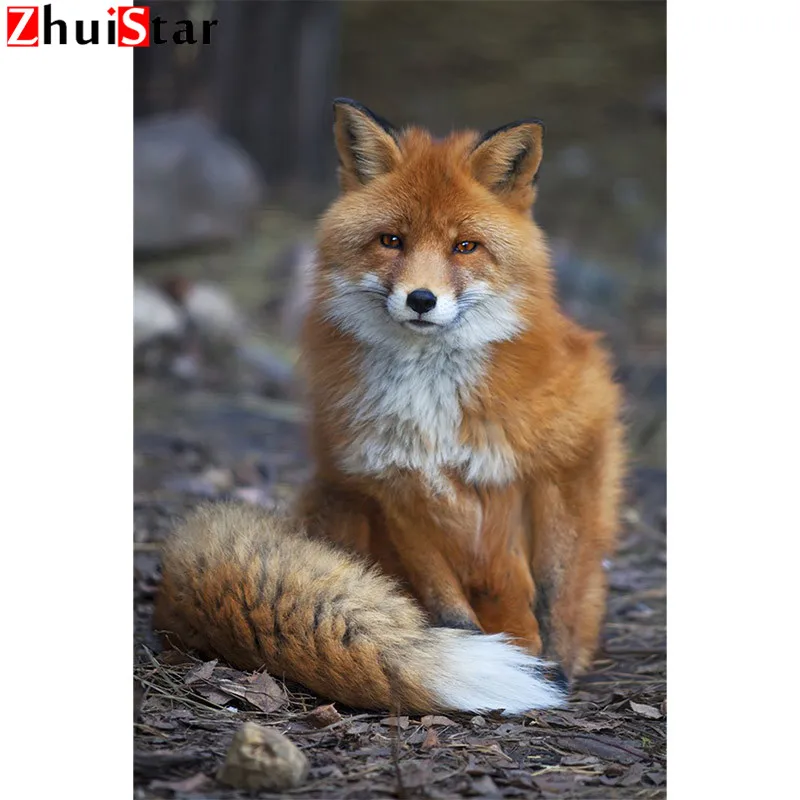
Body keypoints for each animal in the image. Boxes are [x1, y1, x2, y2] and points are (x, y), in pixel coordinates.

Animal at [153, 98, 625, 716]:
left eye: (464, 246)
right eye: (392, 241)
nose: (421, 300)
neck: (431, 405)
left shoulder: (569, 450)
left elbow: (555, 586)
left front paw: (556, 666)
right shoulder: (389, 484)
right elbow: (447, 604)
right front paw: (477, 657)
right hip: (338, 501)